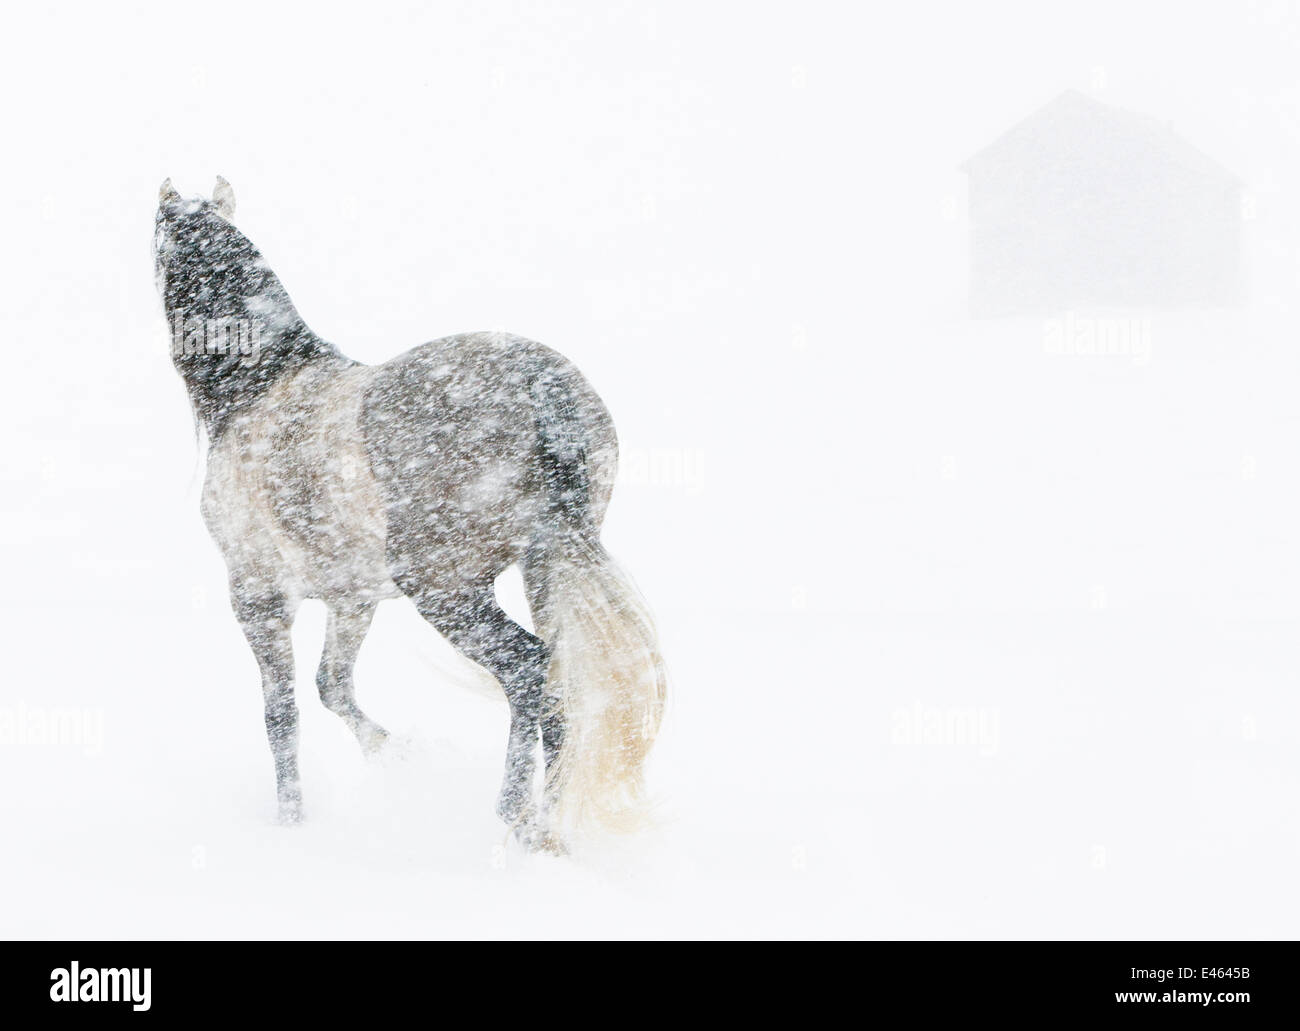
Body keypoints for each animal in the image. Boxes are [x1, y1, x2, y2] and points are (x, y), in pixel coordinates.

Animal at [154, 177, 666, 852]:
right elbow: (332, 685)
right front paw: (393, 754)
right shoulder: (352, 597)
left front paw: (291, 820)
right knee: (559, 681)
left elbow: (281, 713)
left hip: (447, 590)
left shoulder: (257, 595)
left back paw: (514, 818)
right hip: (545, 569)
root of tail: (541, 388)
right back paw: (545, 827)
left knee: (528, 672)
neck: (259, 387)